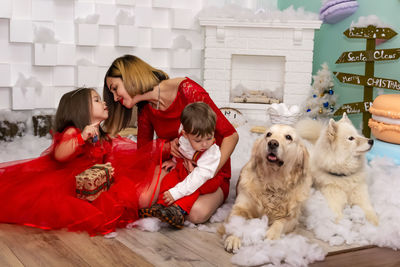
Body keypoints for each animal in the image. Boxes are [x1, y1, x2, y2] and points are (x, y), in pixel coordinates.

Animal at [220, 124, 310, 253]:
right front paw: (233, 238)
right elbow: (237, 222)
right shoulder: (240, 207)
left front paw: (271, 235)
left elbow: (280, 222)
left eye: (288, 137)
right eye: (268, 134)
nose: (272, 143)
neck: (273, 182)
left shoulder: (292, 218)